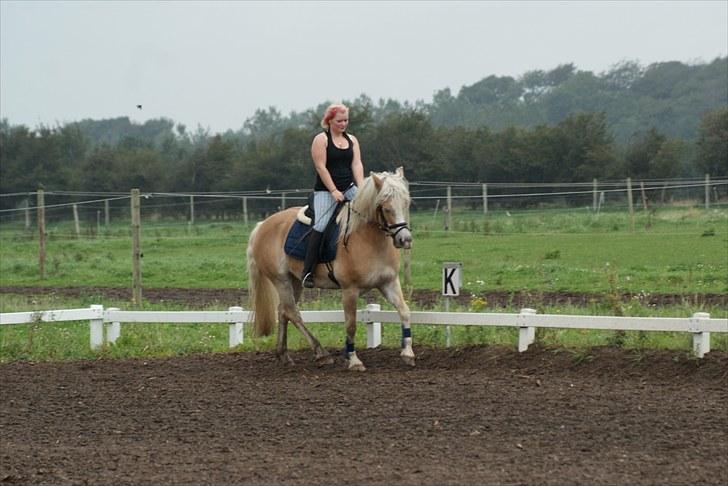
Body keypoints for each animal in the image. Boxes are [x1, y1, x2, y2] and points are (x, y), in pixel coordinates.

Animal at [246, 169, 412, 370]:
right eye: (386, 207)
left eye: (406, 203)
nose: (405, 239)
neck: (369, 240)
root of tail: (262, 225)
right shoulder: (349, 290)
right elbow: (351, 325)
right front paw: (354, 360)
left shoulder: (389, 283)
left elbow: (404, 311)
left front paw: (408, 353)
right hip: (281, 280)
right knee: (293, 312)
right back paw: (321, 353)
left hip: (294, 280)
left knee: (283, 311)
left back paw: (283, 354)